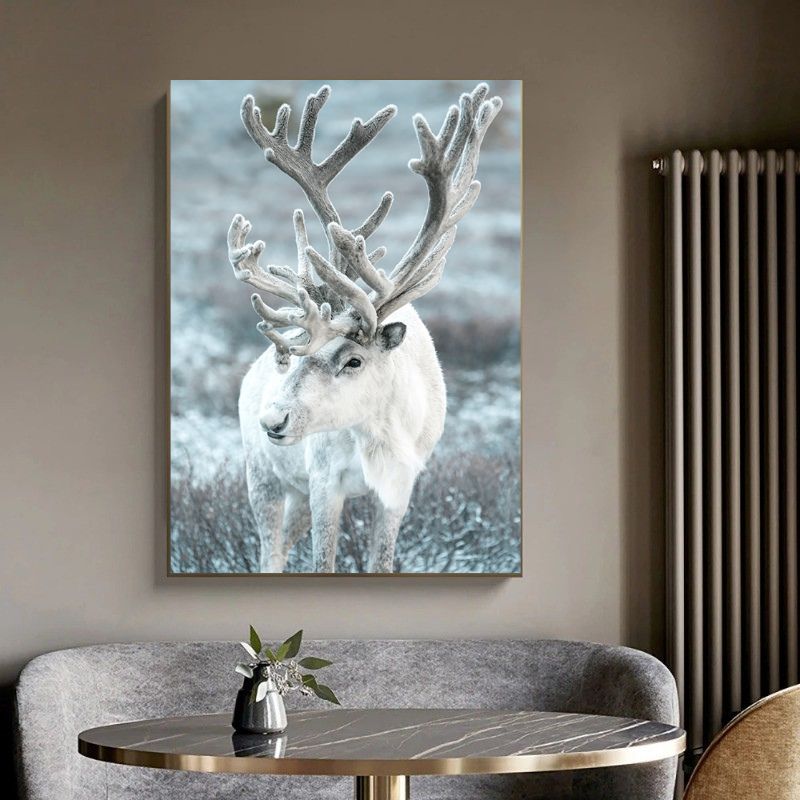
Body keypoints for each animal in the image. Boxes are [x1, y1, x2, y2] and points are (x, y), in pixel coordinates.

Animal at [226, 82, 502, 572]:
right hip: (264, 477)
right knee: (270, 551)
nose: (273, 419)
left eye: (353, 360)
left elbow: (382, 562)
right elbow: (323, 562)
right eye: (299, 354)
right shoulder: (323, 483)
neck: (379, 436)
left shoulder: (399, 489)